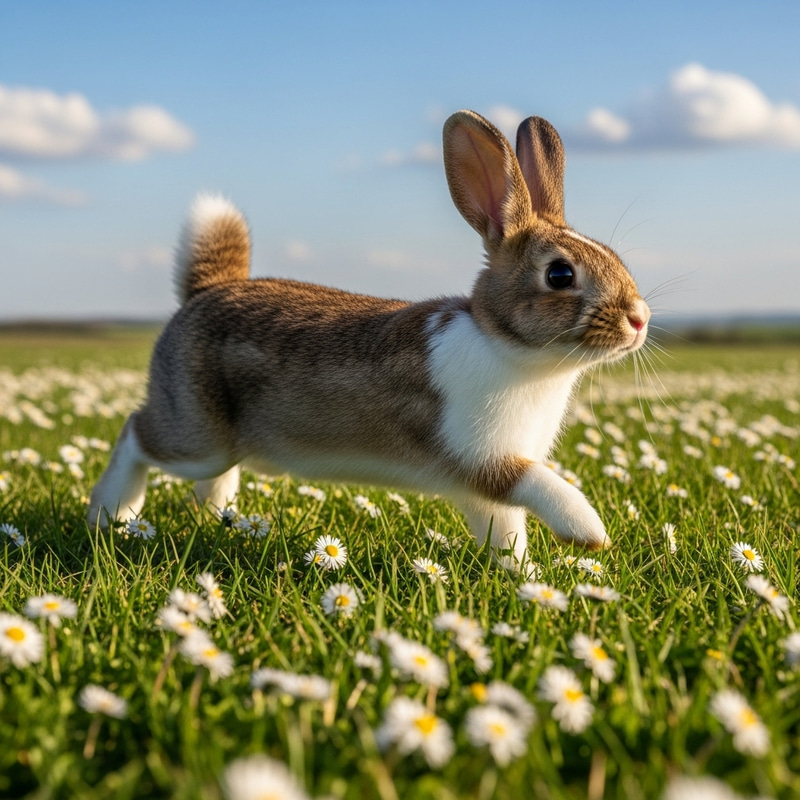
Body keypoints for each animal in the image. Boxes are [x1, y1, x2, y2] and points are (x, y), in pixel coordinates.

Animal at [88, 109, 650, 569]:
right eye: (559, 274)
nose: (640, 319)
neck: (509, 348)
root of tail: (203, 292)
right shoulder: (483, 459)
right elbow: (537, 485)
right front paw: (589, 533)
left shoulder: (484, 487)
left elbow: (506, 535)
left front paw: (527, 579)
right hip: (196, 435)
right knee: (136, 433)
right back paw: (111, 513)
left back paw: (216, 513)